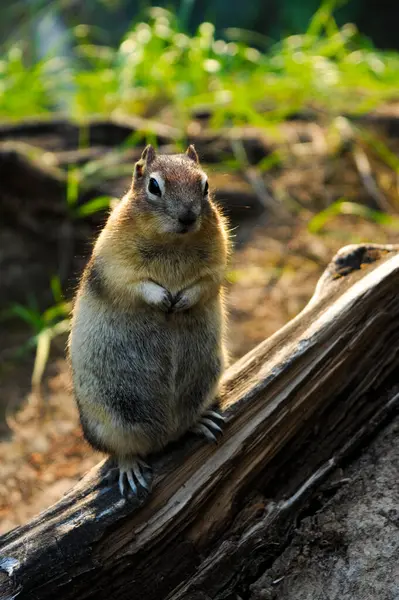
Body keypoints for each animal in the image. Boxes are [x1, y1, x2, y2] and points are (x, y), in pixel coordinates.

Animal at [68, 144, 231, 496]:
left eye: (205, 186)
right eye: (154, 186)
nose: (188, 217)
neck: (174, 242)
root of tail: (163, 437)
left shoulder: (218, 260)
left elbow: (207, 281)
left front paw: (182, 300)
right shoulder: (116, 264)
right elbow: (133, 284)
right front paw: (162, 299)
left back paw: (200, 422)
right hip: (111, 420)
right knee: (123, 451)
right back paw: (130, 469)